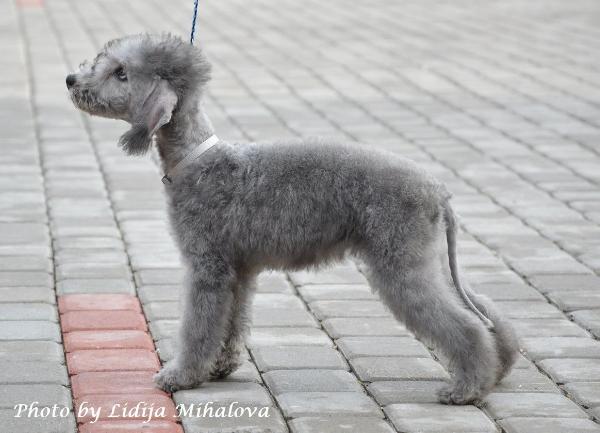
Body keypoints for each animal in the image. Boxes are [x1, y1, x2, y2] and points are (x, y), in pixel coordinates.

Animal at [64, 34, 516, 404]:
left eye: (121, 73)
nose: (70, 78)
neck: (197, 160)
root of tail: (438, 190)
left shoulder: (207, 267)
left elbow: (199, 326)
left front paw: (180, 376)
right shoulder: (239, 270)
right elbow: (232, 322)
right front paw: (222, 366)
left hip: (401, 263)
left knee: (465, 326)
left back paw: (466, 389)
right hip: (426, 260)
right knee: (483, 310)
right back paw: (498, 370)